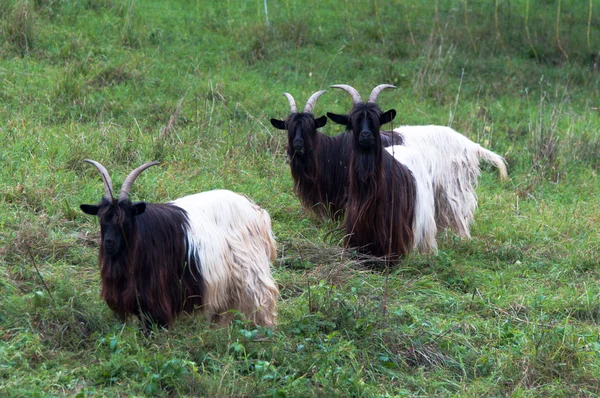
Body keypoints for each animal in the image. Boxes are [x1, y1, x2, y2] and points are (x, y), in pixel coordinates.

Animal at [78, 159, 278, 330]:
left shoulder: (156, 292)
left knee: (264, 299)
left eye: (125, 221)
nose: (109, 243)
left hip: (251, 269)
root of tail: (256, 211)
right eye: (102, 219)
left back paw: (265, 331)